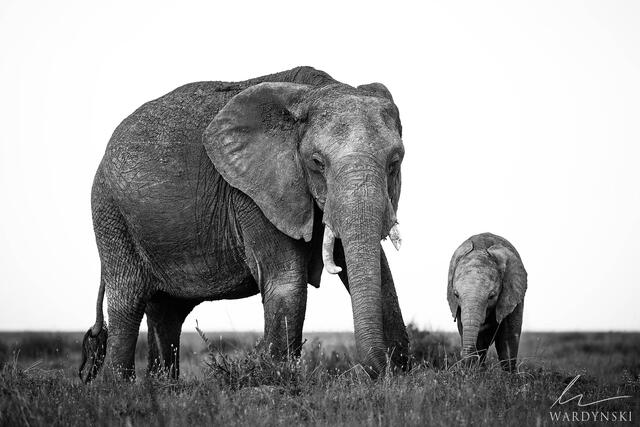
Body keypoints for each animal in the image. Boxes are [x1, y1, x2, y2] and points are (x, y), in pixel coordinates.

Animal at [79, 66, 410, 383]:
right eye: (317, 163)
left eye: (395, 162)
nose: (373, 371)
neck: (311, 92)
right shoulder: (253, 192)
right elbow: (286, 280)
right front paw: (276, 377)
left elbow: (382, 276)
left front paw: (401, 373)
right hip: (110, 211)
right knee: (128, 299)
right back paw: (118, 386)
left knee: (166, 310)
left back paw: (162, 385)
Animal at [447, 233, 527, 371]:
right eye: (456, 295)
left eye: (491, 296)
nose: (462, 355)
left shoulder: (512, 295)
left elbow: (507, 338)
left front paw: (509, 376)